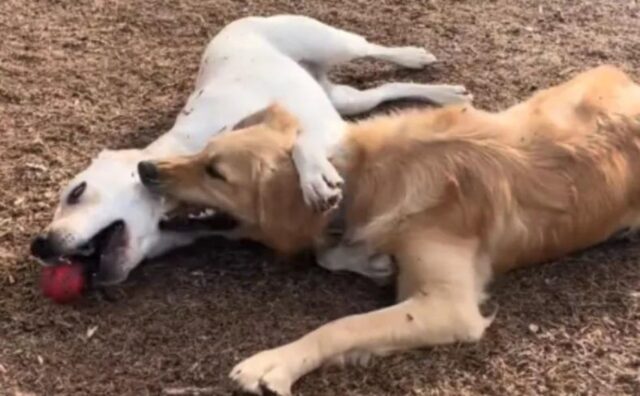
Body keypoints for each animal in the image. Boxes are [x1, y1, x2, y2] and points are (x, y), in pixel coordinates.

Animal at [30, 15, 470, 284]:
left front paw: (316, 178)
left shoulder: (317, 126)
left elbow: (302, 139)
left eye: (76, 192)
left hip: (330, 43)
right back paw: (447, 94)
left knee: (370, 48)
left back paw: (413, 56)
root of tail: (240, 21)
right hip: (343, 99)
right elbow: (324, 254)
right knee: (382, 91)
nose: (40, 245)